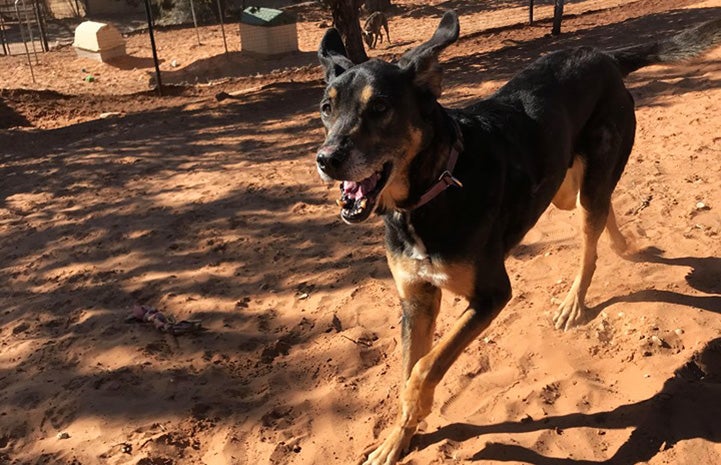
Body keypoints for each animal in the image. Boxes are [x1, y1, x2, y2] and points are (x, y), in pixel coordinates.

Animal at [316, 10, 720, 464]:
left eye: (381, 107)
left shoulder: (491, 295)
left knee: (590, 242)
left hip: (592, 175)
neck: (430, 194)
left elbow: (423, 369)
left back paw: (574, 301)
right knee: (601, 211)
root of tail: (603, 56)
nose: (326, 160)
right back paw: (621, 245)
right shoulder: (416, 299)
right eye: (326, 108)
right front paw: (396, 440)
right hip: (566, 188)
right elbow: (408, 369)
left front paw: (416, 408)